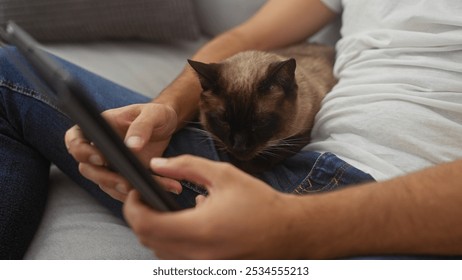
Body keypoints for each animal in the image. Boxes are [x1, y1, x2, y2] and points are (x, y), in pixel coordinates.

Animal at [188, 43, 336, 173]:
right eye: (223, 121)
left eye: (260, 122)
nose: (239, 146)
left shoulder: (301, 135)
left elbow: (271, 156)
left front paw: (243, 167)